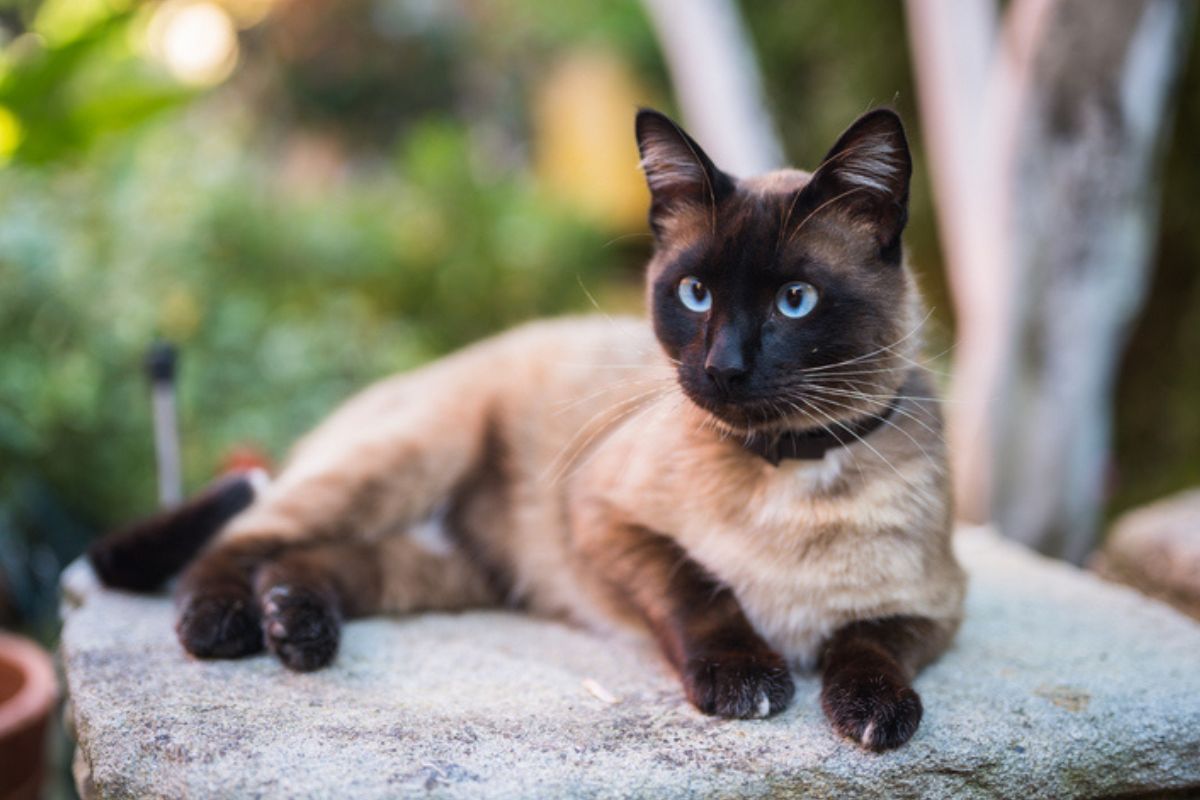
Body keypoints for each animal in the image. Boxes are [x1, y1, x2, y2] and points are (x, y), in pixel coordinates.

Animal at [88, 106, 964, 753]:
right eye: (695, 294)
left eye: (795, 301)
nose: (724, 369)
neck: (788, 468)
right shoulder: (604, 519)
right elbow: (703, 589)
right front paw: (747, 680)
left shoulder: (935, 606)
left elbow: (871, 644)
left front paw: (875, 713)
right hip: (416, 456)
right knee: (243, 537)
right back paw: (223, 625)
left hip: (454, 571)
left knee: (310, 559)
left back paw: (295, 626)